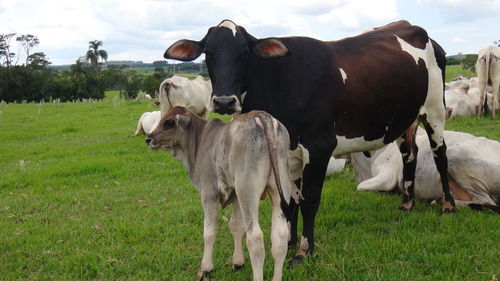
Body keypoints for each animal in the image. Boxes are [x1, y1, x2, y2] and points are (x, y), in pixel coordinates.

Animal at [146, 106, 294, 278]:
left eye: (169, 123)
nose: (148, 139)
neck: (200, 141)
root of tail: (262, 117)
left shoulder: (208, 195)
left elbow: (209, 232)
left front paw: (205, 268)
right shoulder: (235, 196)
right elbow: (236, 226)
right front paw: (238, 262)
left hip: (247, 192)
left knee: (255, 239)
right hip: (279, 190)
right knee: (280, 237)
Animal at [163, 19, 454, 262]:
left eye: (244, 53)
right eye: (208, 54)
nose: (224, 101)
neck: (279, 81)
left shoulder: (319, 147)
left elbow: (309, 201)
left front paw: (304, 250)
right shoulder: (287, 154)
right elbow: (288, 201)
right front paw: (289, 242)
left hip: (434, 110)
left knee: (440, 154)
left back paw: (449, 205)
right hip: (405, 119)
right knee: (410, 155)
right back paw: (407, 203)